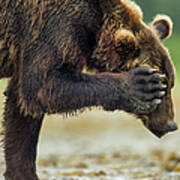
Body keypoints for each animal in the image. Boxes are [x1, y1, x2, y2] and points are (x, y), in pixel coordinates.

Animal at [0, 0, 177, 180]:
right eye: (161, 85)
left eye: (171, 83)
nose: (171, 125)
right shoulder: (51, 28)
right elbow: (42, 85)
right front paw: (140, 85)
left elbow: (21, 109)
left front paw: (21, 172)